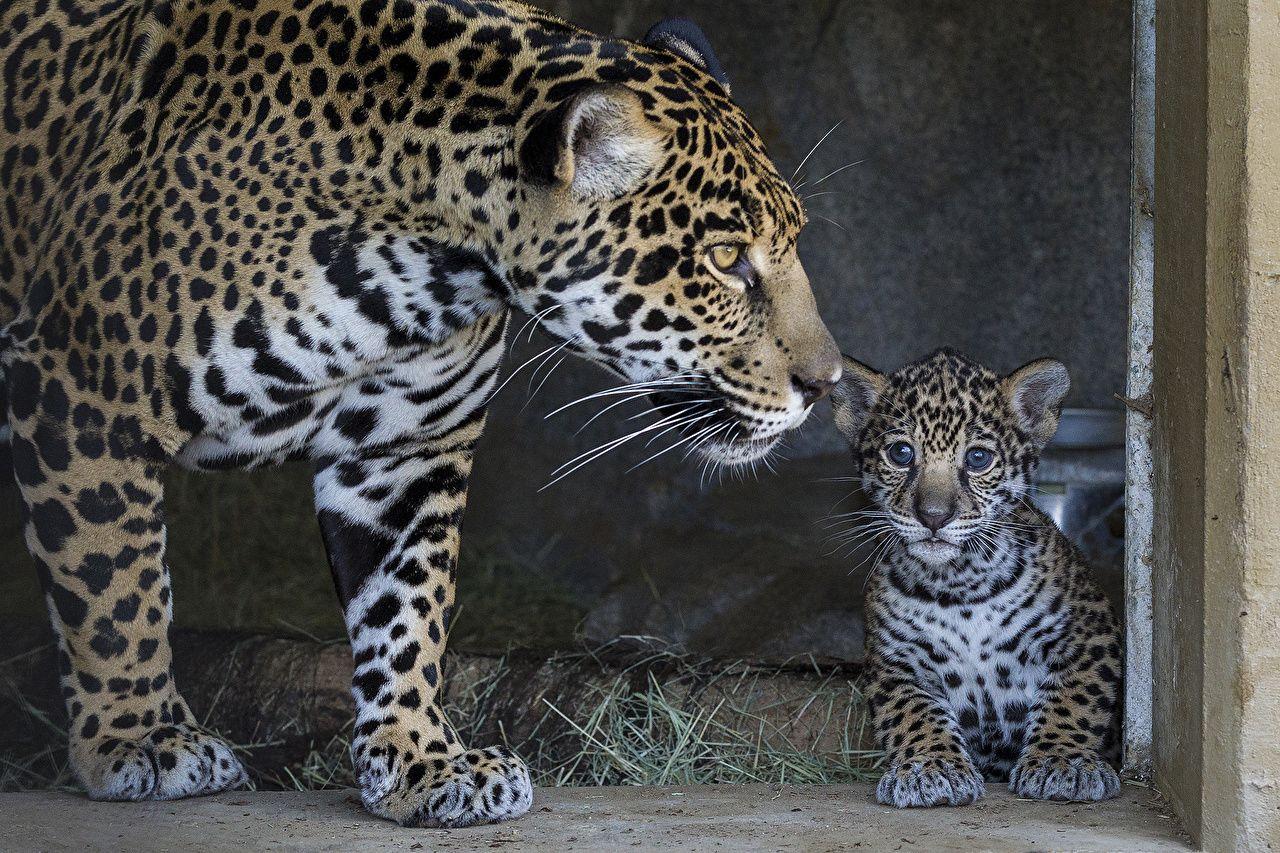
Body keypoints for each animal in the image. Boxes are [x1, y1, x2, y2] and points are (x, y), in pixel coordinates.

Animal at [0, 0, 842, 827]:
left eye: (795, 238)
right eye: (726, 259)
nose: (827, 382)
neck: (422, 265)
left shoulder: (405, 448)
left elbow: (407, 609)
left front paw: (420, 761)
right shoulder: (78, 395)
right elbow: (116, 588)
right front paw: (139, 738)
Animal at [829, 348, 1122, 808]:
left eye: (978, 459)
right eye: (901, 453)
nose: (933, 516)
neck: (960, 584)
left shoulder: (1090, 635)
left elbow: (1074, 699)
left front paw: (1062, 762)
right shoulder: (894, 662)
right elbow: (914, 713)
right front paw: (931, 768)